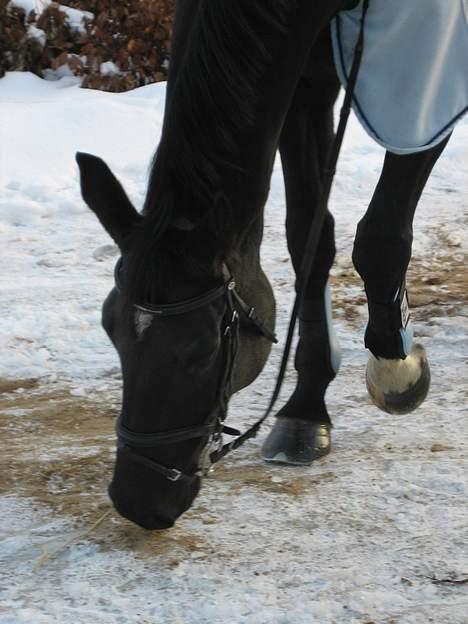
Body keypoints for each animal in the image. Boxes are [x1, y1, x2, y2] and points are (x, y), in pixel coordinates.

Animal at [76, 0, 450, 528]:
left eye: (202, 349)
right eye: (111, 327)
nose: (137, 498)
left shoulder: (423, 88)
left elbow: (380, 238)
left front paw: (396, 370)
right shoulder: (302, 81)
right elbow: (309, 236)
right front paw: (306, 406)